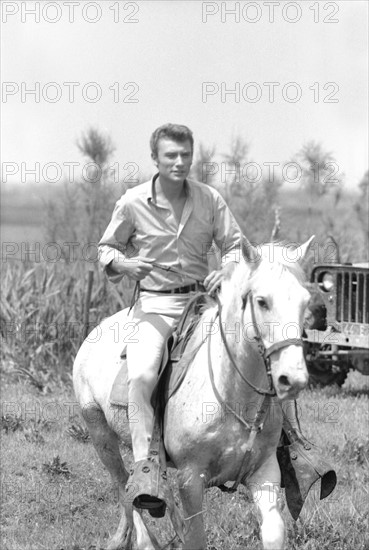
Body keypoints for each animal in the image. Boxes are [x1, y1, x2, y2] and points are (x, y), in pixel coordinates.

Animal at [73, 239, 312, 548]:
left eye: (305, 301)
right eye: (262, 301)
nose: (293, 378)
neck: (233, 397)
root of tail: (97, 329)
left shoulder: (264, 472)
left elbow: (273, 532)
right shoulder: (191, 479)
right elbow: (196, 536)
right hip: (99, 432)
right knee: (124, 485)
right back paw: (143, 540)